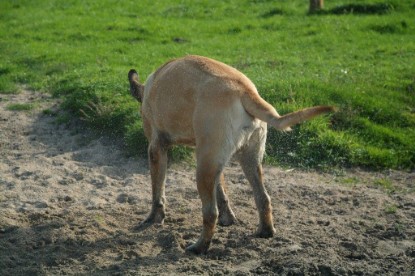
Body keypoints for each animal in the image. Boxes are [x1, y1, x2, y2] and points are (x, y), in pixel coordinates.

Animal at [127, 55, 334, 253]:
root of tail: (244, 91)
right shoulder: (214, 163)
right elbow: (222, 193)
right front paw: (228, 219)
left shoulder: (156, 149)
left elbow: (157, 192)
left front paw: (154, 218)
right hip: (241, 159)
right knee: (263, 198)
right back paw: (265, 231)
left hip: (203, 169)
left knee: (210, 213)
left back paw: (200, 247)